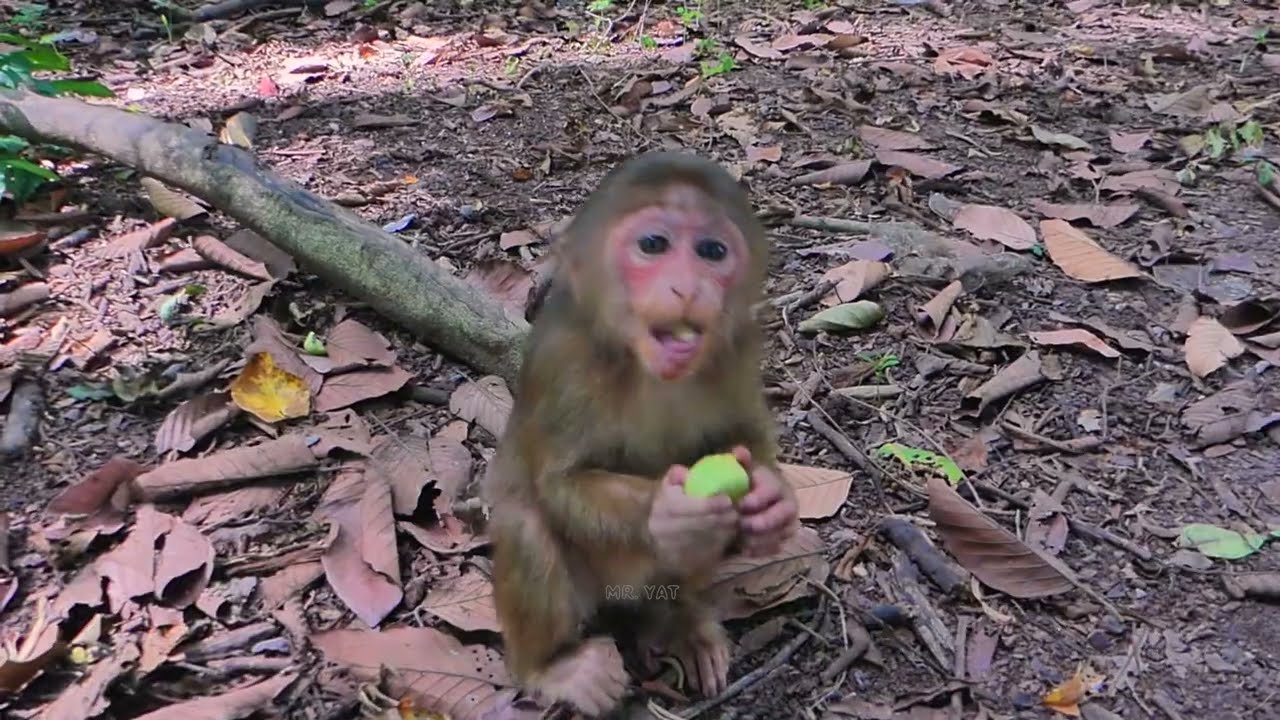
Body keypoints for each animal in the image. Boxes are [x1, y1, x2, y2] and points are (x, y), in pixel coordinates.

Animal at [482, 151, 800, 717]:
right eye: (653, 244)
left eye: (712, 251)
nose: (688, 287)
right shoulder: (564, 361)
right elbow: (559, 486)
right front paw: (666, 512)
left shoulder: (737, 350)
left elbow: (746, 434)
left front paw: (772, 500)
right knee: (526, 524)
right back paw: (550, 667)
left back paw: (678, 619)